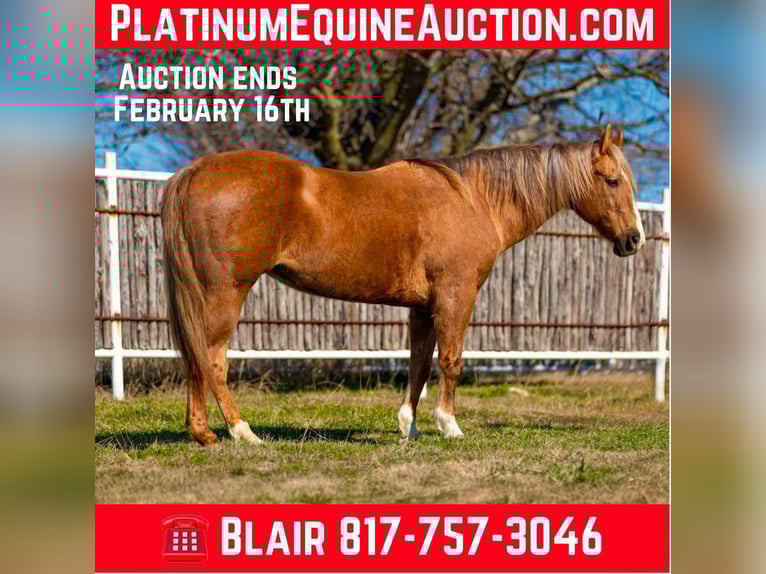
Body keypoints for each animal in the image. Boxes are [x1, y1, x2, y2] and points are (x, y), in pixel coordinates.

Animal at [161, 124, 645, 446]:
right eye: (612, 181)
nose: (634, 240)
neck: (475, 199)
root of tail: (195, 171)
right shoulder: (456, 295)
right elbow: (450, 360)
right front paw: (449, 426)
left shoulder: (422, 307)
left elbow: (418, 364)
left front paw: (407, 427)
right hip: (225, 293)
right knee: (212, 359)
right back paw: (242, 432)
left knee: (194, 359)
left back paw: (202, 434)